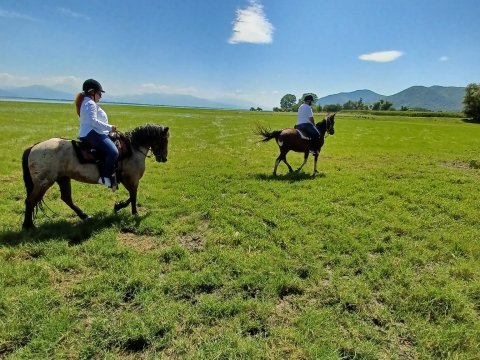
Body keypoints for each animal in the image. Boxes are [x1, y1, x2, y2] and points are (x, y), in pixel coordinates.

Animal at [21, 124, 170, 229]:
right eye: (165, 140)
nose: (164, 158)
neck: (133, 148)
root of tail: (33, 147)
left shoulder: (128, 180)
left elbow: (131, 196)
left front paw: (118, 206)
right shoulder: (132, 179)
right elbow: (133, 196)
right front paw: (134, 213)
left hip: (62, 178)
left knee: (66, 198)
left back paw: (85, 216)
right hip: (44, 183)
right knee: (30, 201)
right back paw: (28, 225)